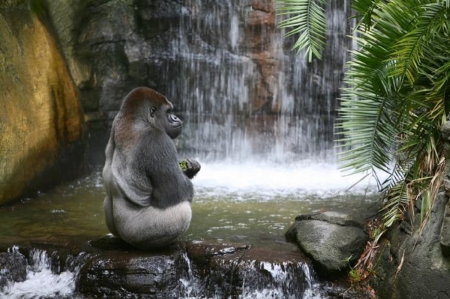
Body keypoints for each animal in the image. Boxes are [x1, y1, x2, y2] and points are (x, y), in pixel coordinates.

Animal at [103, 87, 201, 251]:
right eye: (168, 112)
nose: (175, 117)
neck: (133, 118)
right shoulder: (158, 141)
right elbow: (175, 192)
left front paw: (189, 168)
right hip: (138, 233)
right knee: (182, 211)